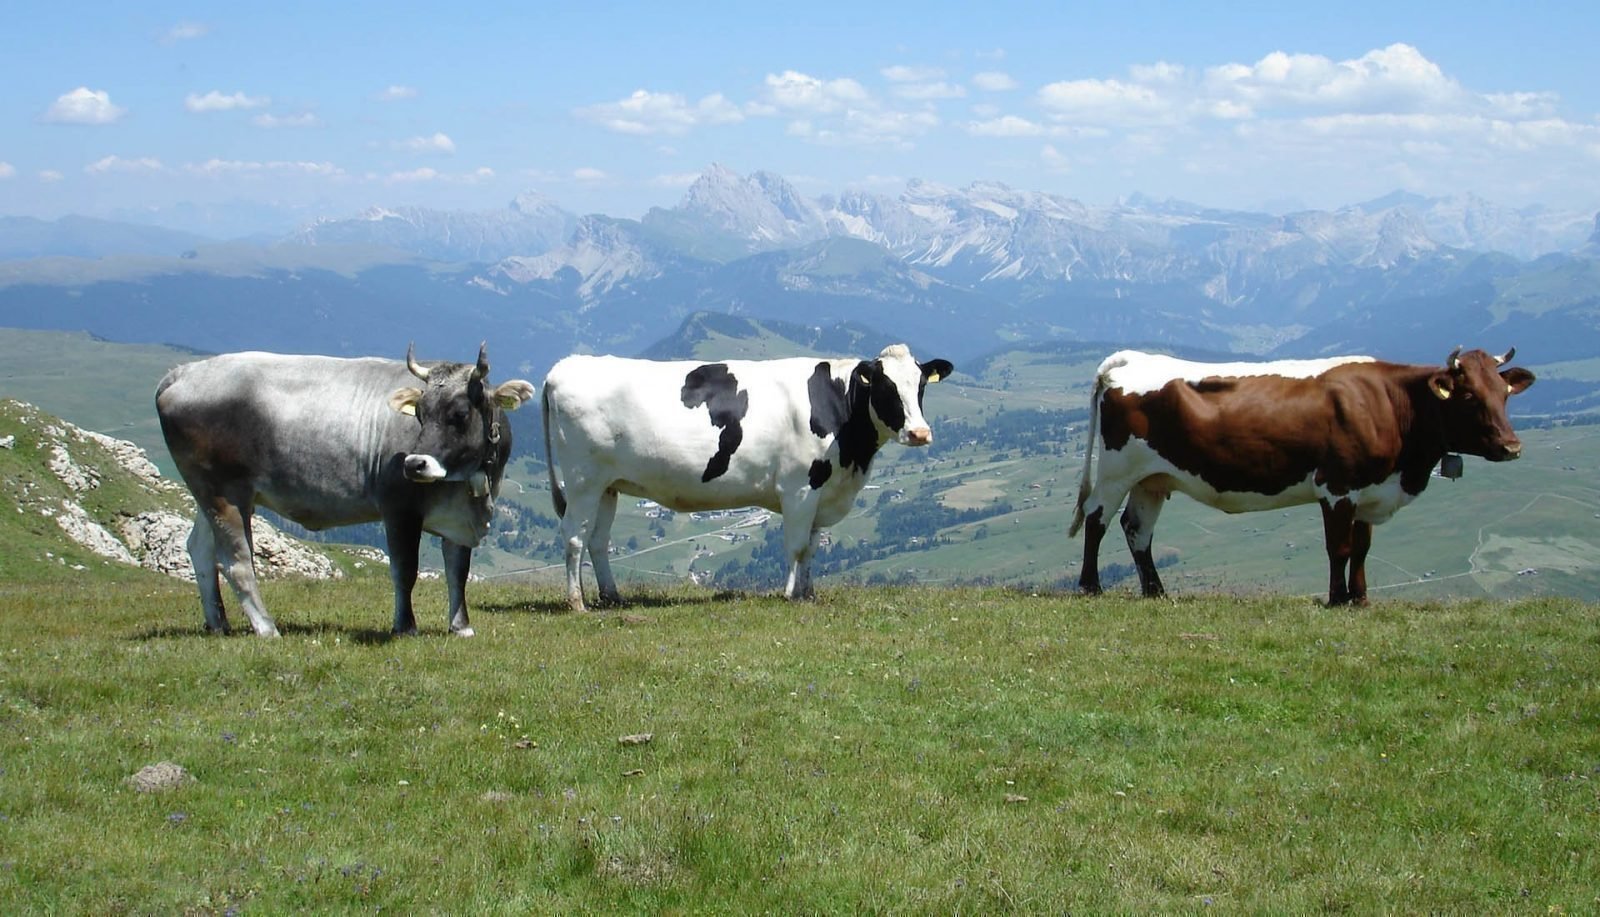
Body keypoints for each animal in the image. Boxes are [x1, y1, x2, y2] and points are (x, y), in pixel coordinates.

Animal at [152, 342, 534, 636]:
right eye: (420, 414)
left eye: (459, 413)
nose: (414, 464)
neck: (469, 483)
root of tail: (183, 373)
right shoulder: (398, 507)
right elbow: (405, 570)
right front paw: (405, 626)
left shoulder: (458, 517)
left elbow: (458, 572)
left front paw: (460, 626)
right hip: (225, 492)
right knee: (237, 560)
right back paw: (266, 627)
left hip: (208, 495)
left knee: (200, 550)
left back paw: (218, 624)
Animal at [544, 342, 953, 608]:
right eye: (885, 387)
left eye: (919, 386)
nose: (920, 433)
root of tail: (564, 366)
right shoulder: (800, 487)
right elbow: (797, 546)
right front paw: (789, 595)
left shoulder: (822, 490)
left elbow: (812, 548)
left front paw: (808, 594)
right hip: (582, 480)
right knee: (574, 536)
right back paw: (577, 602)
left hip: (607, 486)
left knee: (598, 540)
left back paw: (611, 597)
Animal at [1075, 347, 1536, 604]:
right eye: (1469, 396)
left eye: (1504, 393)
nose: (1512, 447)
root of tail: (1132, 361)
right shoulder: (1337, 487)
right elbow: (1339, 548)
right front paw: (1337, 598)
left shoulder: (1370, 491)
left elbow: (1362, 548)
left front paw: (1360, 599)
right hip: (1117, 471)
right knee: (1097, 518)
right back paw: (1090, 587)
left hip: (1152, 478)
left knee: (1137, 530)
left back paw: (1156, 593)